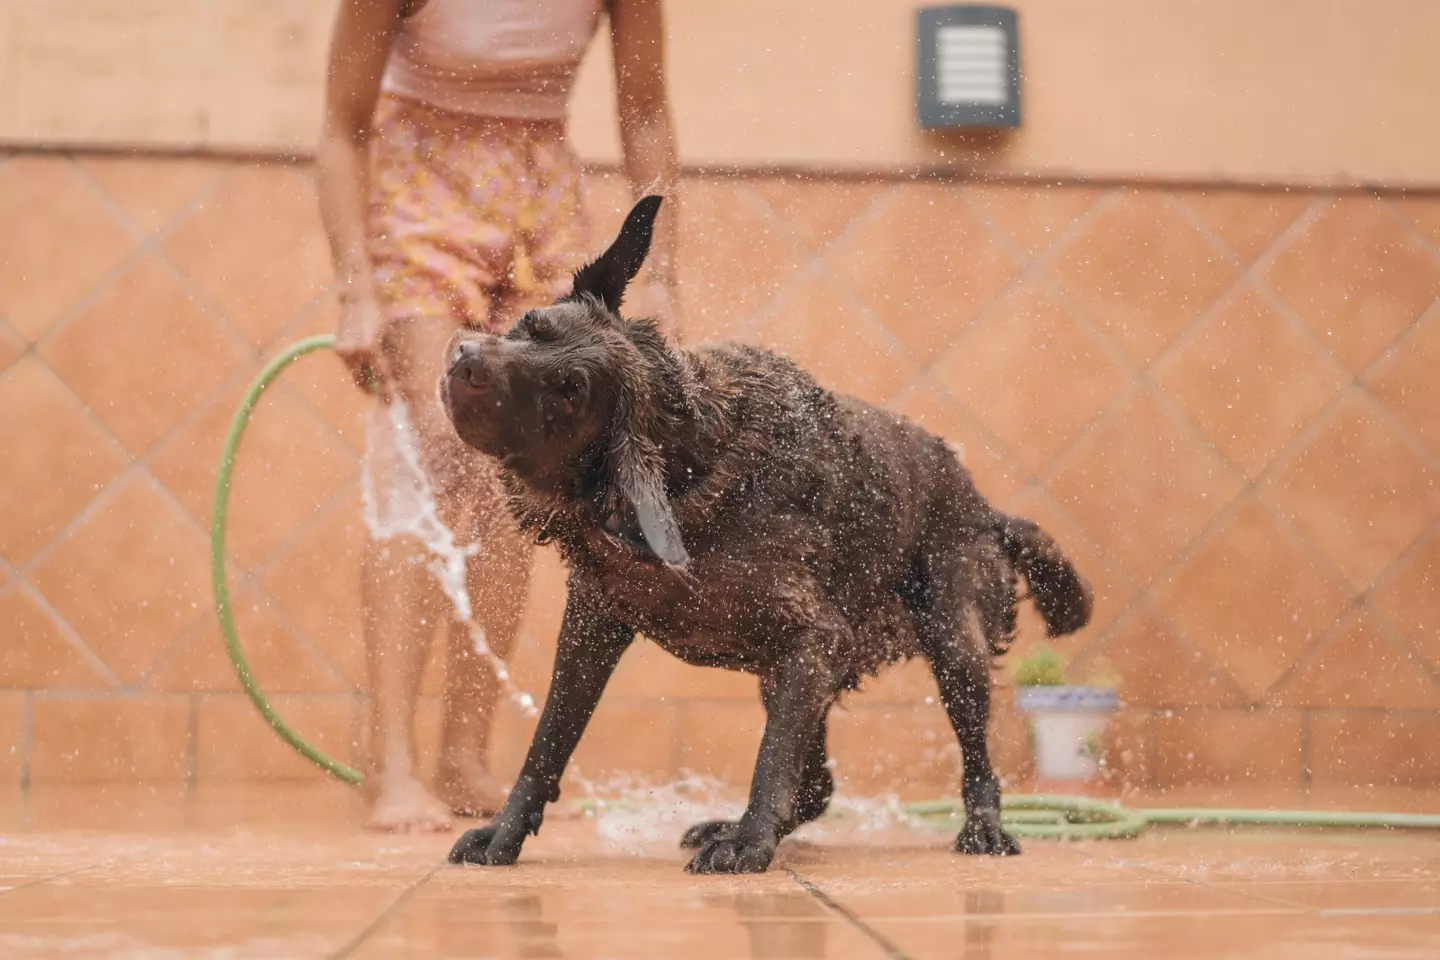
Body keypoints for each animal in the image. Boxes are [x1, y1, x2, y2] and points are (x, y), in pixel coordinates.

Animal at [437, 198, 1088, 875]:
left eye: (568, 395)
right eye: (526, 324)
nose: (465, 357)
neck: (687, 467)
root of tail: (985, 507)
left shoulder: (815, 637)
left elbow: (772, 760)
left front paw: (749, 842)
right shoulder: (593, 628)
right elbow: (547, 744)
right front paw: (504, 831)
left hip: (949, 642)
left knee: (969, 759)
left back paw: (983, 828)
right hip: (799, 671)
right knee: (818, 786)